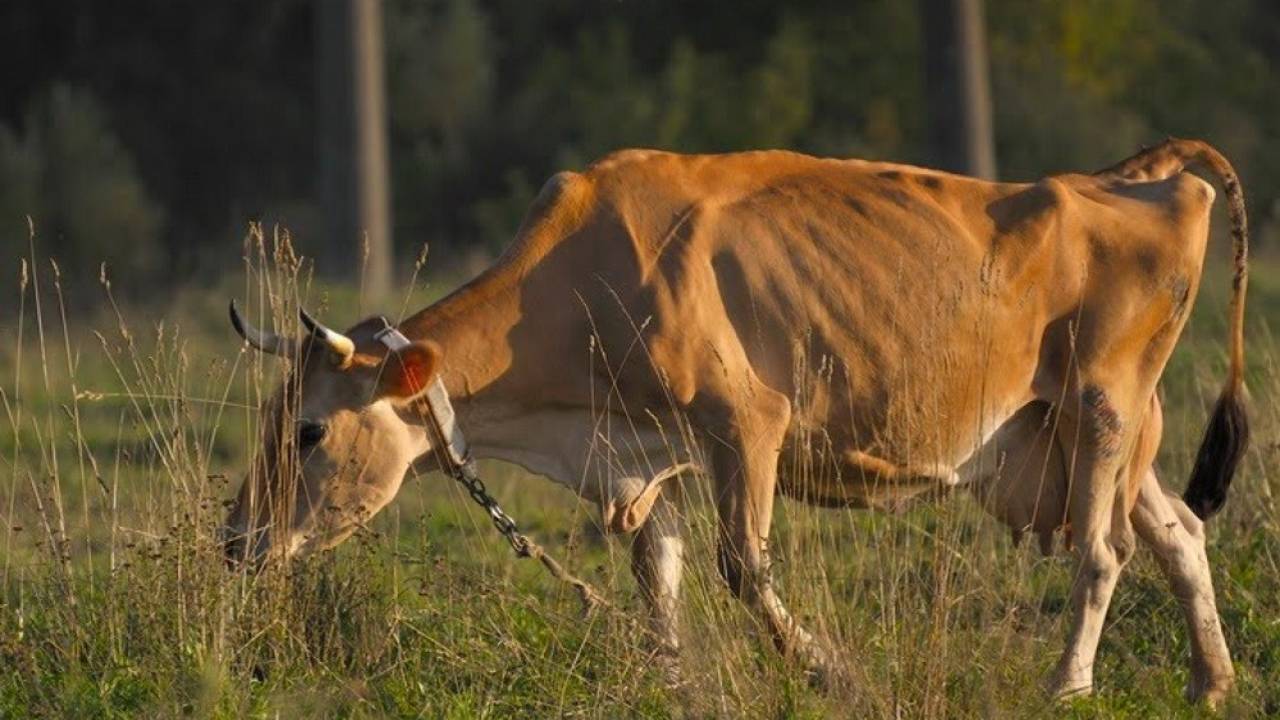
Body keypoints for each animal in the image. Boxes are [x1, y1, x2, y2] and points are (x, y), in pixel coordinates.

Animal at [222, 139, 1249, 702]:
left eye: (310, 431)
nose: (236, 539)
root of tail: (1137, 177)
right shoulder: (647, 457)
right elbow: (660, 579)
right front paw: (674, 681)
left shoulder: (746, 421)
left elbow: (741, 567)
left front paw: (833, 673)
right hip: (1077, 437)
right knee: (1180, 532)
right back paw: (1212, 682)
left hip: (1104, 405)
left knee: (1105, 549)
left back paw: (1068, 683)